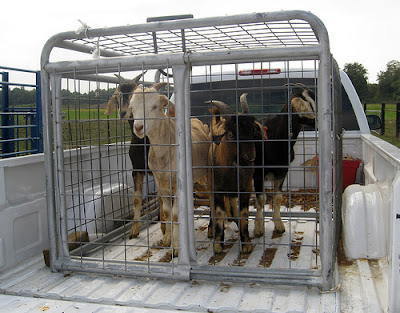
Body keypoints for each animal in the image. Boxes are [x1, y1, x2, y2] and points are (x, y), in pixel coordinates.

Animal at [208, 93, 264, 254]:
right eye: (231, 134)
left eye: (252, 131)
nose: (250, 157)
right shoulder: (217, 189)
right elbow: (219, 213)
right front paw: (218, 244)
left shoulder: (246, 188)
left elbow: (244, 213)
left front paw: (246, 243)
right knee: (211, 205)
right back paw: (211, 229)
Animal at [255, 85, 318, 236]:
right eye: (307, 106)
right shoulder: (258, 173)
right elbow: (261, 199)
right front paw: (259, 228)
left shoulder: (282, 172)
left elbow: (278, 198)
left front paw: (279, 225)